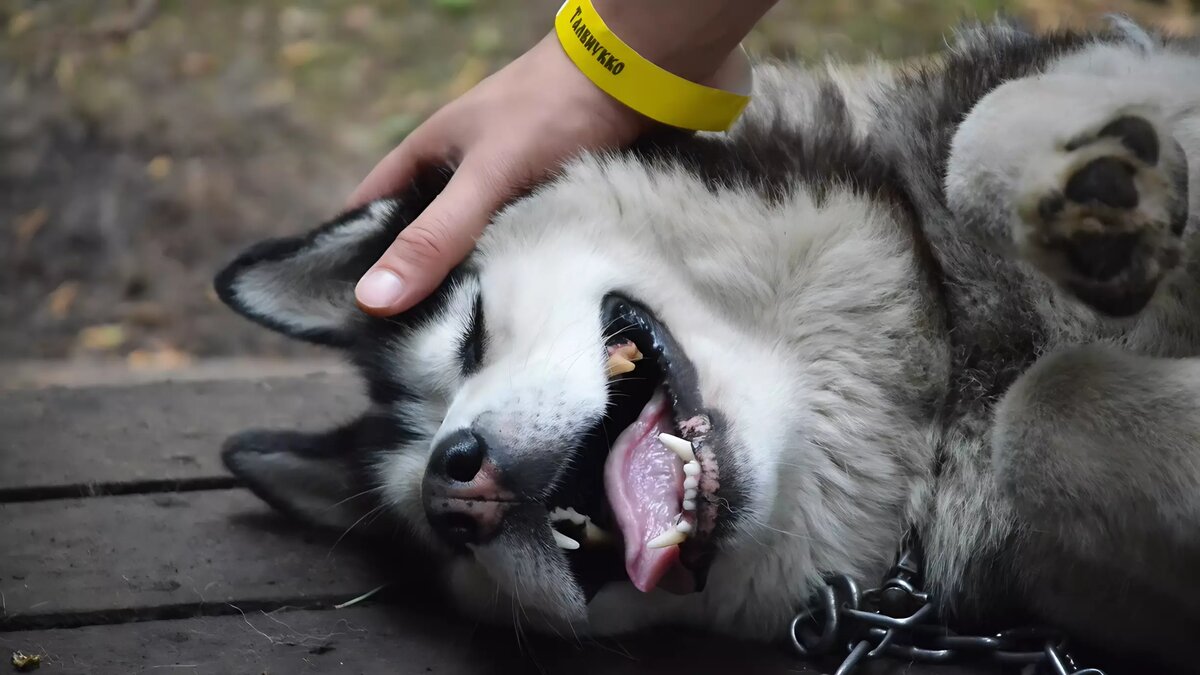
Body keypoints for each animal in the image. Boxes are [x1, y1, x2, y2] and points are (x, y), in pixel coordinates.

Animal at [216, 18, 1200, 667]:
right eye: (440, 539)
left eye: (471, 331)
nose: (454, 483)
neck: (943, 383)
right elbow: (1054, 404)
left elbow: (985, 130)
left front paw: (1100, 190)